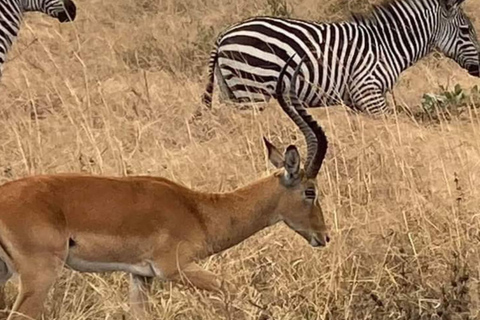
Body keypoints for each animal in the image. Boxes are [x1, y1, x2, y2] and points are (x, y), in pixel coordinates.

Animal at [0, 56, 328, 318]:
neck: (200, 211)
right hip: (40, 275)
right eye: (310, 191)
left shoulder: (140, 277)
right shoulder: (174, 268)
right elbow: (230, 288)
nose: (324, 236)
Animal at [202, 0, 480, 115]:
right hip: (252, 91)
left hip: (232, 91)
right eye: (466, 30)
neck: (387, 46)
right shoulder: (368, 92)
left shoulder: (356, 101)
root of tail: (225, 34)